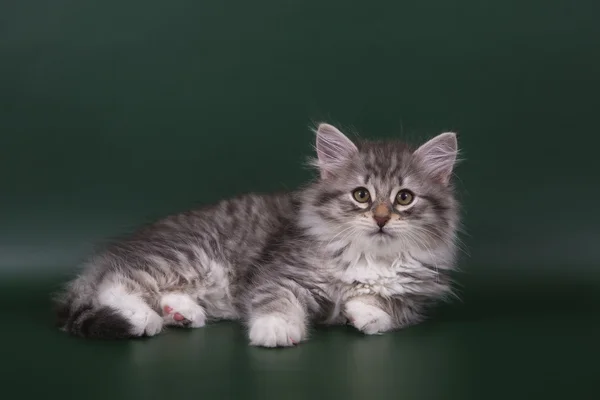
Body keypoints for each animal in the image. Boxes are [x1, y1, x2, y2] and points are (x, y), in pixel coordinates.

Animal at [55, 123, 460, 348]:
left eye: (404, 198)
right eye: (361, 195)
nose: (381, 219)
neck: (369, 255)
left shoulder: (414, 297)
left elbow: (383, 306)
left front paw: (366, 314)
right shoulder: (282, 272)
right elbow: (275, 299)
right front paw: (275, 329)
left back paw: (181, 313)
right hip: (191, 255)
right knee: (117, 281)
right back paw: (143, 318)